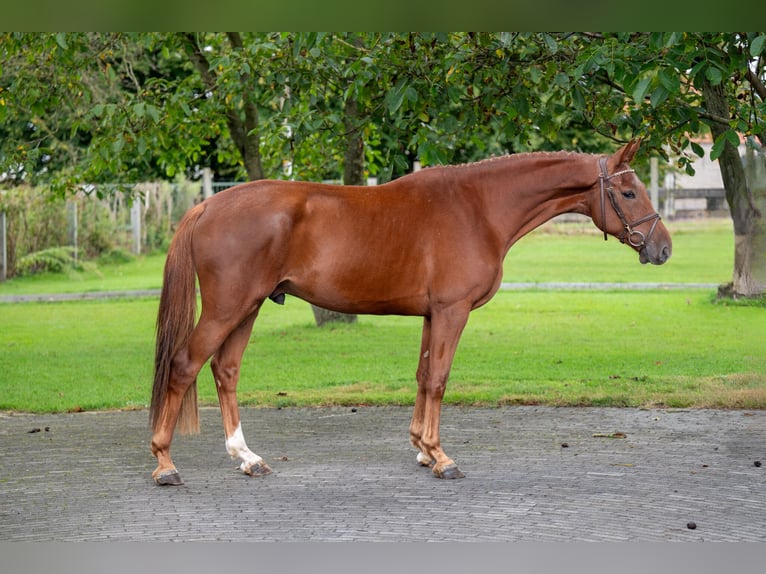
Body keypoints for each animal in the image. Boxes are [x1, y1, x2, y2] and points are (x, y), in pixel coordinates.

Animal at [148, 140, 672, 486]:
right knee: (184, 366)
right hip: (228, 307)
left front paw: (421, 448)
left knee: (226, 370)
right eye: (628, 193)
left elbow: (422, 376)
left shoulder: (430, 315)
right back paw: (165, 464)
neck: (478, 208)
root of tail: (207, 206)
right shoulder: (452, 311)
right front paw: (442, 458)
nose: (662, 248)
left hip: (249, 307)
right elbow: (438, 378)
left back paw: (247, 457)